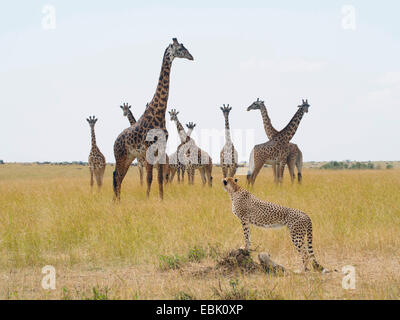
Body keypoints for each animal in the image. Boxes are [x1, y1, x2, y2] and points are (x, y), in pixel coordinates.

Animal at [112, 38, 194, 200]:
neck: (159, 112)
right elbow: (149, 178)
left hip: (129, 157)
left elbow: (160, 178)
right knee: (117, 176)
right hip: (120, 156)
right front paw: (147, 198)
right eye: (180, 49)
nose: (191, 56)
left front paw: (161, 199)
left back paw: (117, 201)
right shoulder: (148, 149)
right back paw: (116, 201)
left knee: (119, 176)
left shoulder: (161, 148)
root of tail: (115, 142)